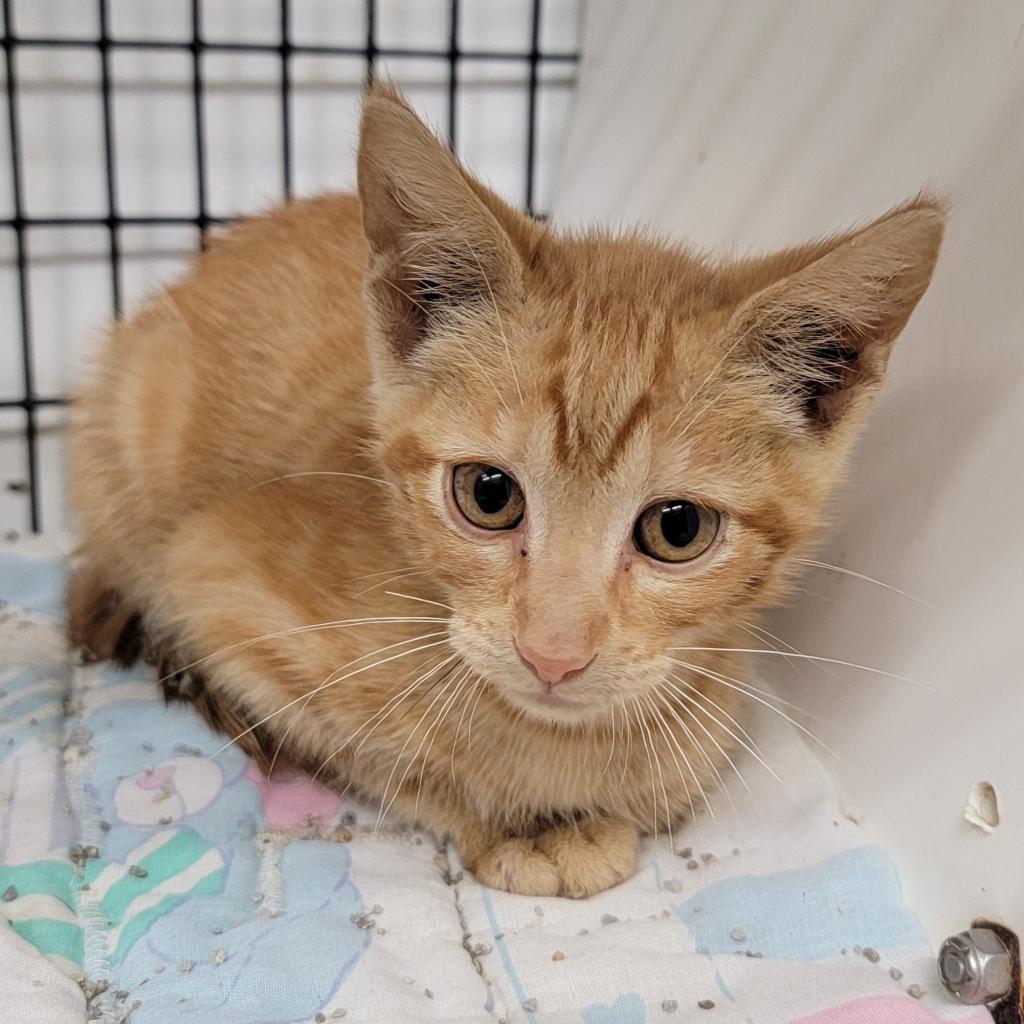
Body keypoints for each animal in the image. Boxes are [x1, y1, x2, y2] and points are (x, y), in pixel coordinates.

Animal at [66, 92, 942, 901]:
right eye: (488, 495)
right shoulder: (216, 582)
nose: (552, 654)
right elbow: (380, 763)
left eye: (678, 529)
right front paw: (515, 825)